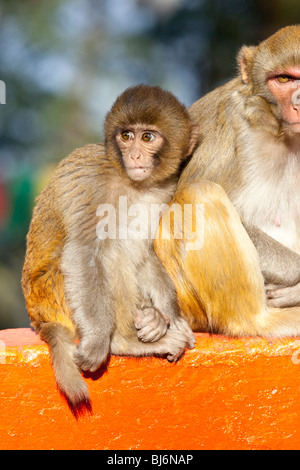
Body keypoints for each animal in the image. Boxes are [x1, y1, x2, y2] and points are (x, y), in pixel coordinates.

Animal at [22, 85, 198, 408]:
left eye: (147, 137)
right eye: (126, 136)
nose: (135, 155)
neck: (135, 184)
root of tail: (39, 318)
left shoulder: (166, 192)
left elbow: (147, 252)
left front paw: (174, 316)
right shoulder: (94, 183)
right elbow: (83, 252)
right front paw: (98, 341)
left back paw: (153, 320)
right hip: (57, 296)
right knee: (110, 254)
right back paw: (123, 341)